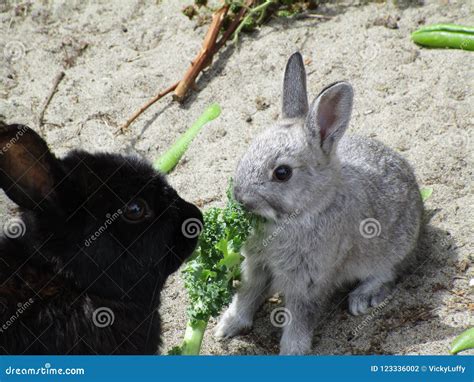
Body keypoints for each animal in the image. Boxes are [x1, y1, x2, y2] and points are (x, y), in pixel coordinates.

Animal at [215, 52, 422, 354]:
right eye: (248, 150)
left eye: (282, 173)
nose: (241, 199)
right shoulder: (256, 266)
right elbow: (247, 296)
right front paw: (226, 327)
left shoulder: (309, 280)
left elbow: (299, 319)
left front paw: (291, 352)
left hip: (390, 252)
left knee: (388, 273)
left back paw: (361, 299)